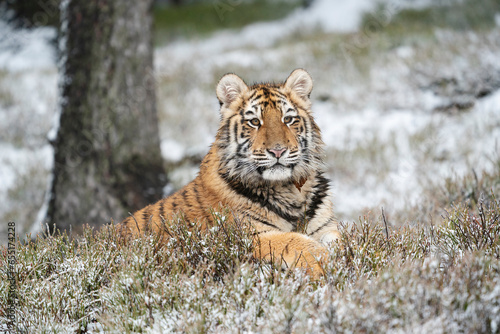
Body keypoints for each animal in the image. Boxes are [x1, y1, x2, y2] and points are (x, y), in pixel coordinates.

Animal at [120, 69, 340, 278]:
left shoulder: (326, 227)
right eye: (254, 122)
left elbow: (340, 242)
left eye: (288, 119)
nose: (278, 151)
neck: (288, 189)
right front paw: (329, 264)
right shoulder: (250, 236)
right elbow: (298, 242)